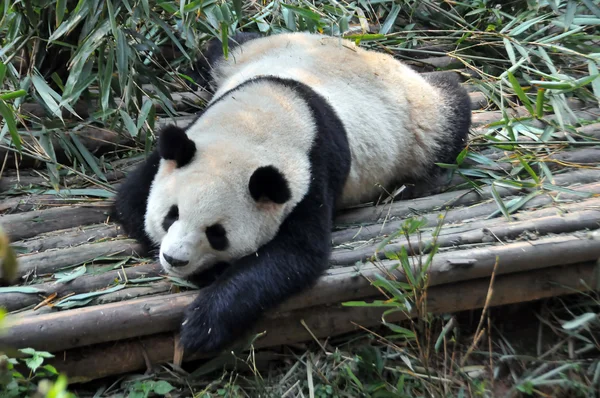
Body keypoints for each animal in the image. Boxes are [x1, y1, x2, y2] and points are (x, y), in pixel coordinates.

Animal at [110, 31, 472, 354]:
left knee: (452, 108)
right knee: (219, 46)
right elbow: (129, 205)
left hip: (419, 122)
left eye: (216, 234)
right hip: (244, 50)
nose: (175, 259)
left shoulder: (313, 171)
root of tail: (372, 53)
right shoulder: (189, 139)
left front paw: (201, 324)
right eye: (171, 215)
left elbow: (294, 255)